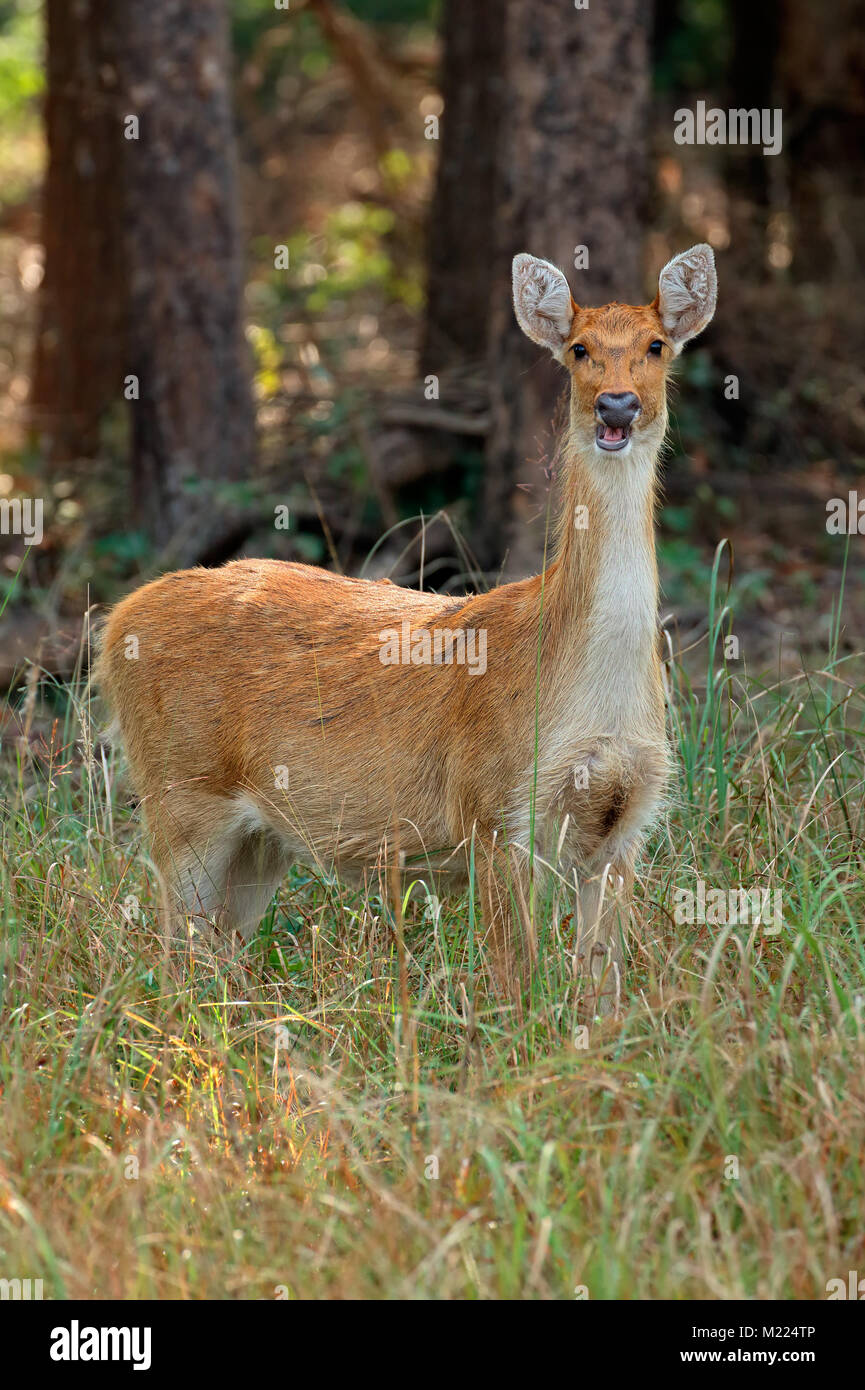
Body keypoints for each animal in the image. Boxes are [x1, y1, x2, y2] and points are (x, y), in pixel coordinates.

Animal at [96, 247, 717, 1011]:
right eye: (578, 349)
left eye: (656, 346)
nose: (617, 405)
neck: (590, 691)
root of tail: (117, 622)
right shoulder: (492, 806)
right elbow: (516, 981)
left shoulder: (625, 821)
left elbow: (602, 989)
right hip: (181, 792)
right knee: (168, 958)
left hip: (257, 839)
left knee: (213, 956)